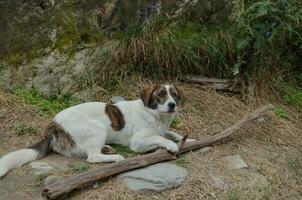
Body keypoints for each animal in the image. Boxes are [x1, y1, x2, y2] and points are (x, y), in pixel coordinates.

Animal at [0, 83, 192, 177]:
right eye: (161, 95)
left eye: (174, 95)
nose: (172, 105)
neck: (154, 114)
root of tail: (53, 124)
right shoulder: (137, 142)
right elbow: (160, 138)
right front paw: (171, 145)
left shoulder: (162, 129)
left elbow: (171, 133)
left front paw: (188, 139)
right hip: (98, 127)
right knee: (92, 157)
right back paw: (115, 157)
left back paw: (107, 148)